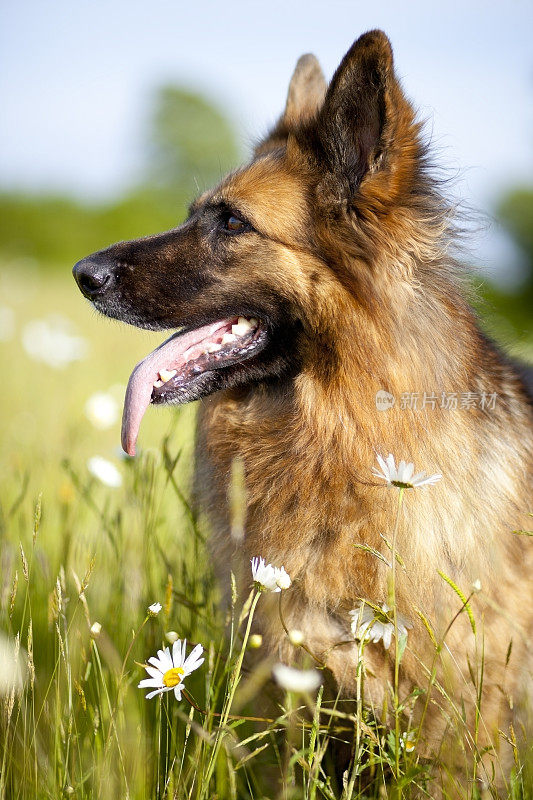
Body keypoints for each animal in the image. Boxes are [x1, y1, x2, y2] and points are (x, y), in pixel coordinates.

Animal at [76, 32, 532, 792]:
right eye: (197, 212)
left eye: (231, 222)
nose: (84, 275)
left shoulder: (455, 732)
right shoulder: (291, 695)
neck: (342, 432)